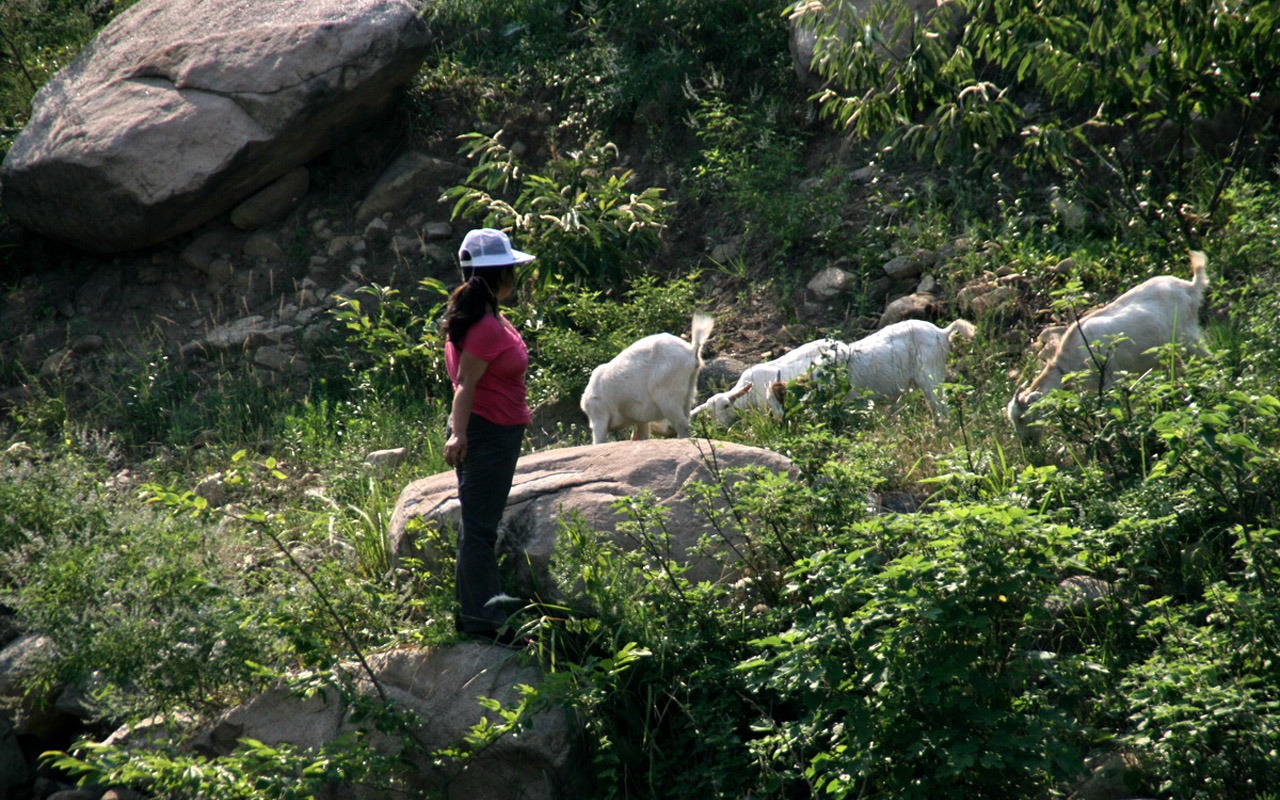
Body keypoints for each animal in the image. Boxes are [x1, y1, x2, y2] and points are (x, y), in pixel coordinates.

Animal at [583, 311, 716, 442]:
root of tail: (691, 351)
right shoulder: (640, 418)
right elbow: (642, 434)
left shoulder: (599, 414)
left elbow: (598, 440)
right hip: (689, 390)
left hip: (667, 391)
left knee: (681, 423)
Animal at [1008, 249, 1208, 440]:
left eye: (1022, 417)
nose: (1026, 443)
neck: (1067, 363)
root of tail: (1190, 288)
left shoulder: (1110, 378)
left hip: (1187, 337)